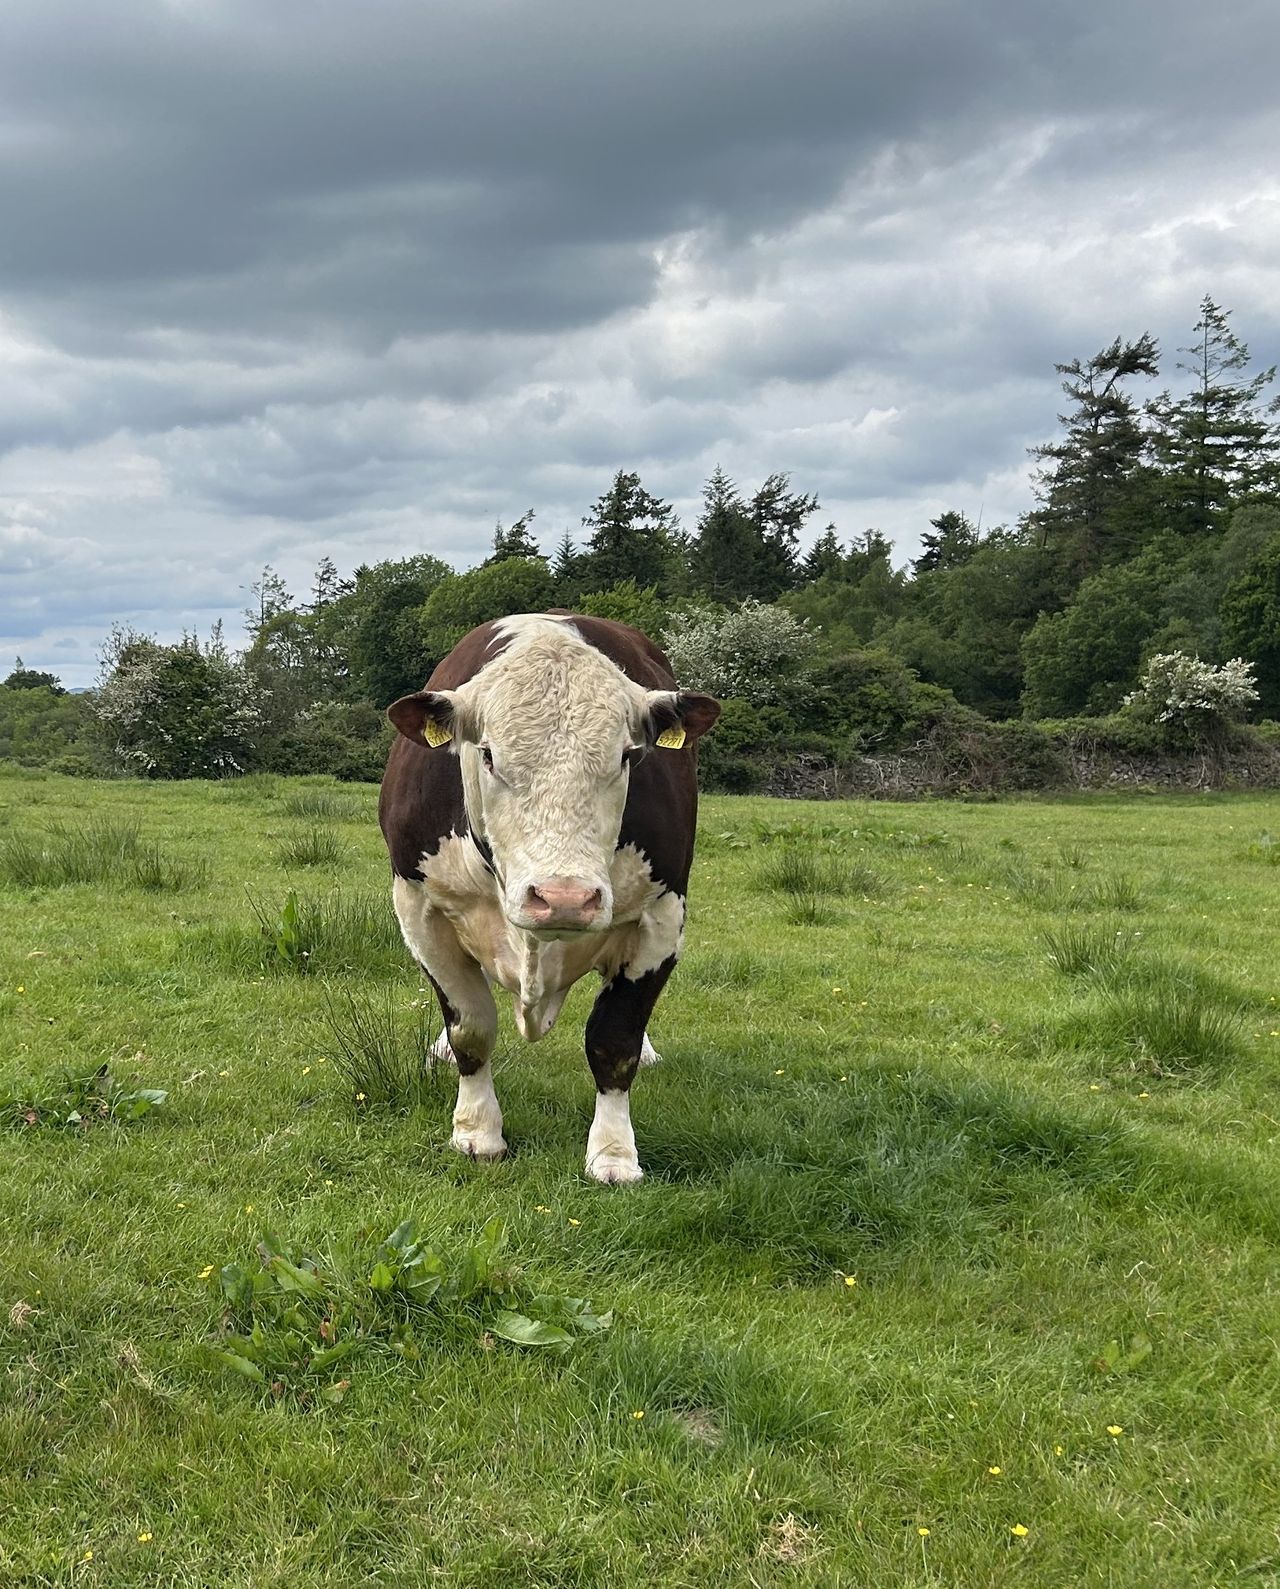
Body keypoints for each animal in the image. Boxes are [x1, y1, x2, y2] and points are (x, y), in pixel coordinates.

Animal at [378, 612, 720, 1184]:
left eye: (627, 756)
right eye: (488, 754)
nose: (564, 898)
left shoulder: (663, 915)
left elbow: (615, 1040)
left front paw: (614, 1154)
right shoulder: (419, 909)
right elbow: (471, 1027)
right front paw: (478, 1133)